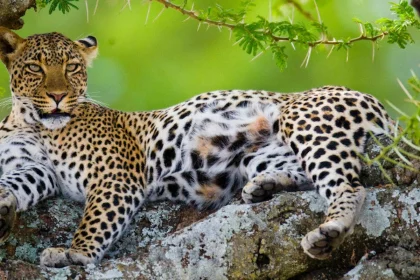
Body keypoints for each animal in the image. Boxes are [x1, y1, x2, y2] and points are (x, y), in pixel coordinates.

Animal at [0, 27, 394, 268]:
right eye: (35, 68)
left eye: (72, 68)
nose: (58, 96)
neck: (31, 123)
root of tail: (382, 106)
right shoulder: (36, 170)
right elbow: (18, 182)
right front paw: (6, 201)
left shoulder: (115, 178)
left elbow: (95, 221)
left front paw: (75, 254)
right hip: (257, 155)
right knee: (303, 172)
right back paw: (264, 186)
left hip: (303, 119)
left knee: (349, 185)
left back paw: (330, 232)